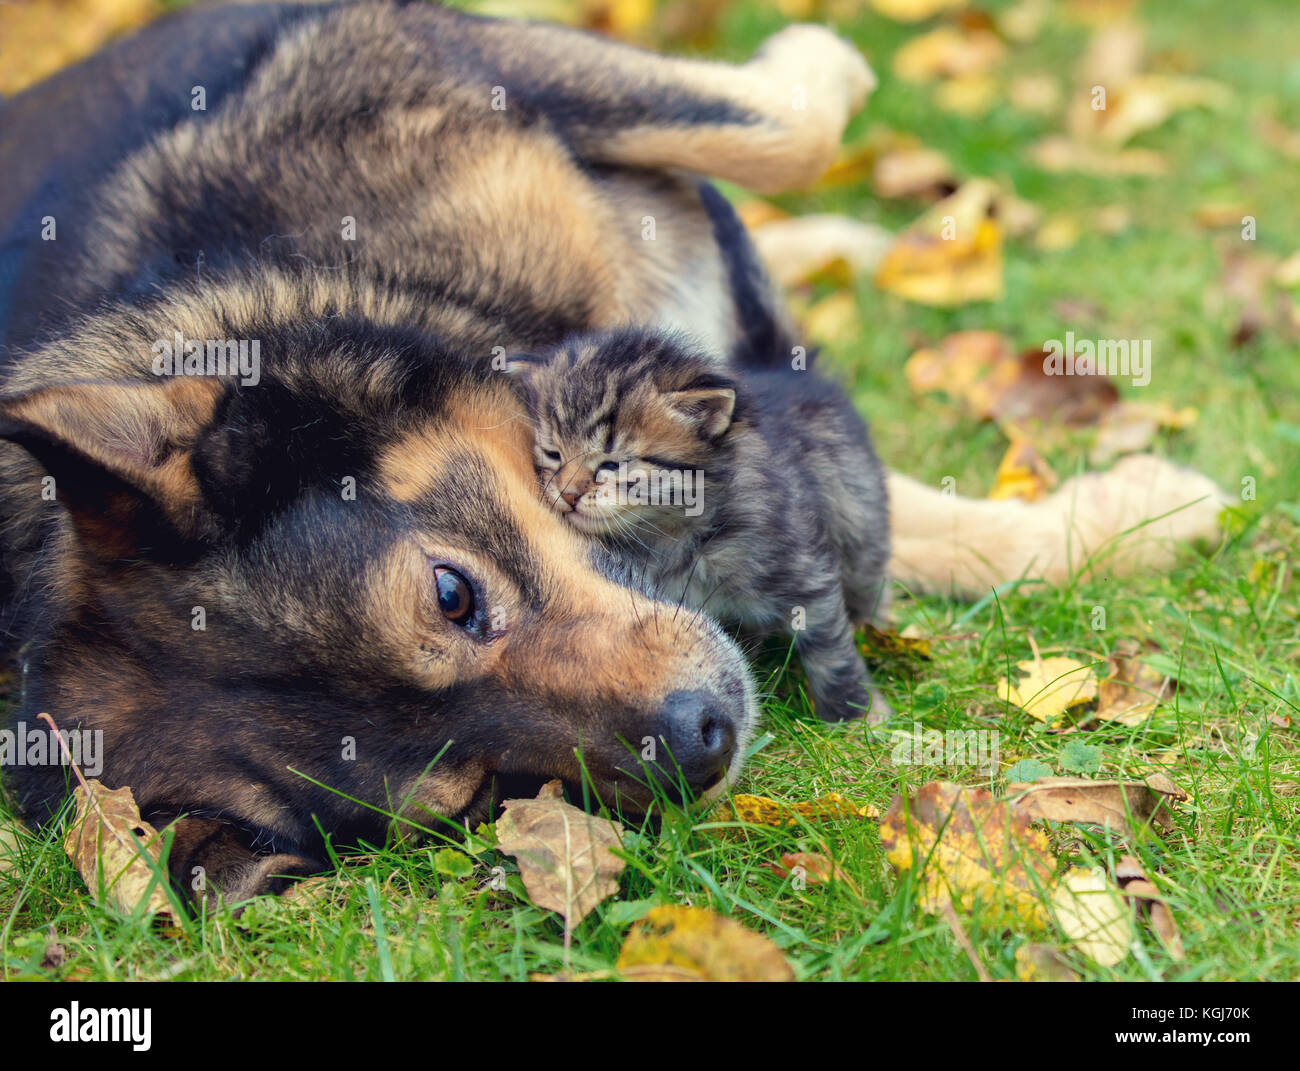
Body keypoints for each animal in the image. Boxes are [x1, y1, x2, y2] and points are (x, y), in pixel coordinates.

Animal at [506, 328, 894, 717]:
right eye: (553, 454)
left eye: (612, 464)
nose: (567, 494)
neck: (669, 534)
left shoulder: (804, 571)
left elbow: (829, 649)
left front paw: (856, 713)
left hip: (861, 525)